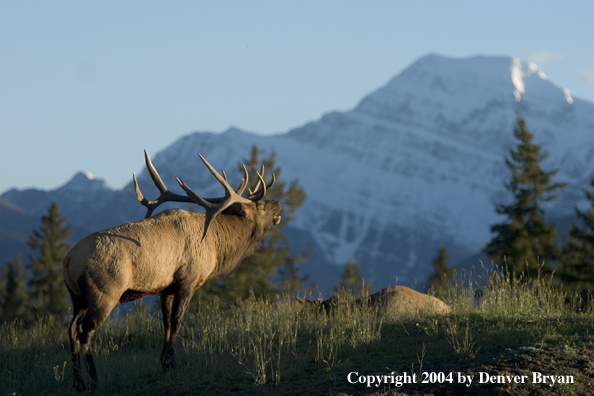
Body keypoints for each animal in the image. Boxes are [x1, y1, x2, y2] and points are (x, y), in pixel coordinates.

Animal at [62, 150, 280, 392]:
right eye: (261, 207)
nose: (278, 204)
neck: (216, 245)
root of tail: (68, 261)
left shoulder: (166, 287)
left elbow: (165, 322)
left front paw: (164, 361)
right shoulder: (188, 279)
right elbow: (177, 320)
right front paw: (172, 363)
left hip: (77, 297)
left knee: (71, 330)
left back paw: (78, 382)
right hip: (103, 294)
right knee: (85, 331)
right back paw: (94, 378)